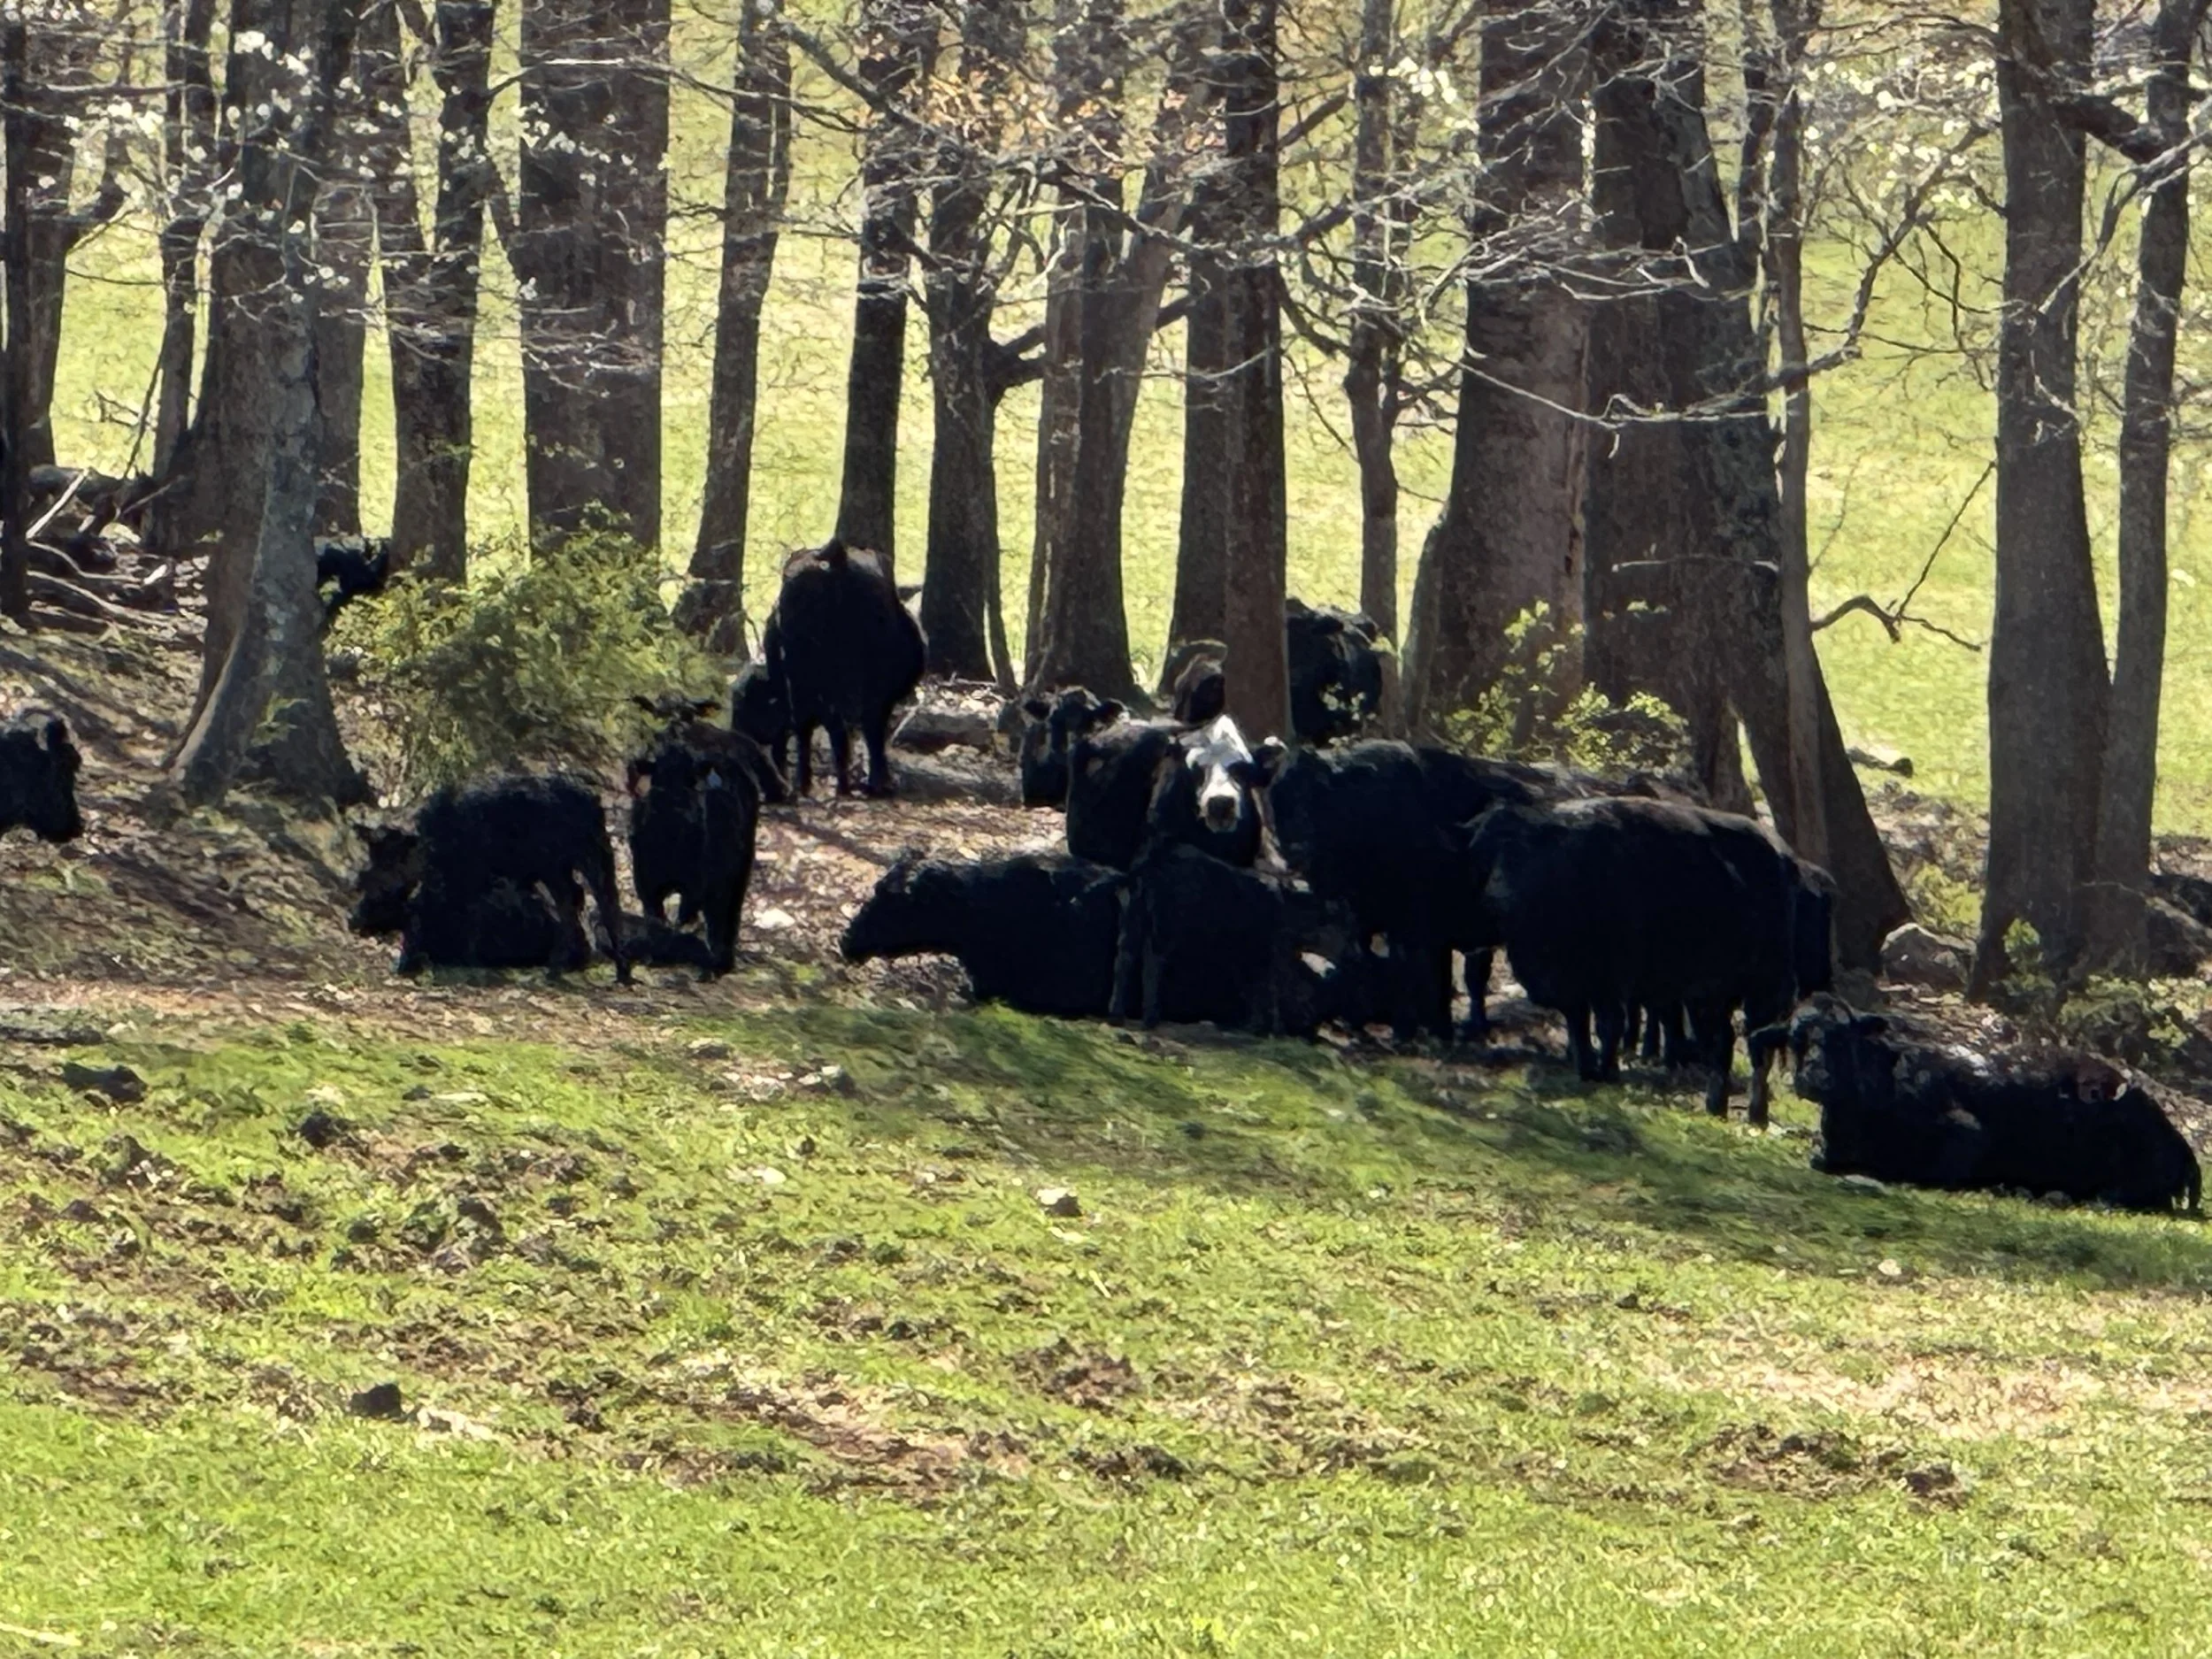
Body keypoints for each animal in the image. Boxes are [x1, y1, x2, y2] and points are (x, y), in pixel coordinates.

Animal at [347, 775, 629, 981]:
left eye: (389, 859)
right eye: (371, 859)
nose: (354, 920)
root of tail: (591, 800)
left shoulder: (460, 878)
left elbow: (426, 911)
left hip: (574, 863)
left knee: (589, 904)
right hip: (574, 864)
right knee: (589, 902)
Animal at [1247, 738, 1540, 1041]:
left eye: (1319, 794)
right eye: (1276, 797)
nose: (1294, 847)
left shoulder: (1417, 919)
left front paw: (1422, 1030)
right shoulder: (1361, 916)